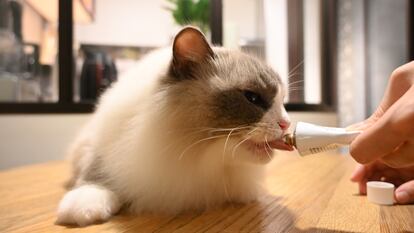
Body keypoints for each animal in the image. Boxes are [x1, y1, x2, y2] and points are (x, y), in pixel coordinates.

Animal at [56, 26, 292, 226]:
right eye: (252, 98)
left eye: (282, 101)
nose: (286, 123)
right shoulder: (100, 147)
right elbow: (94, 173)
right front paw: (83, 207)